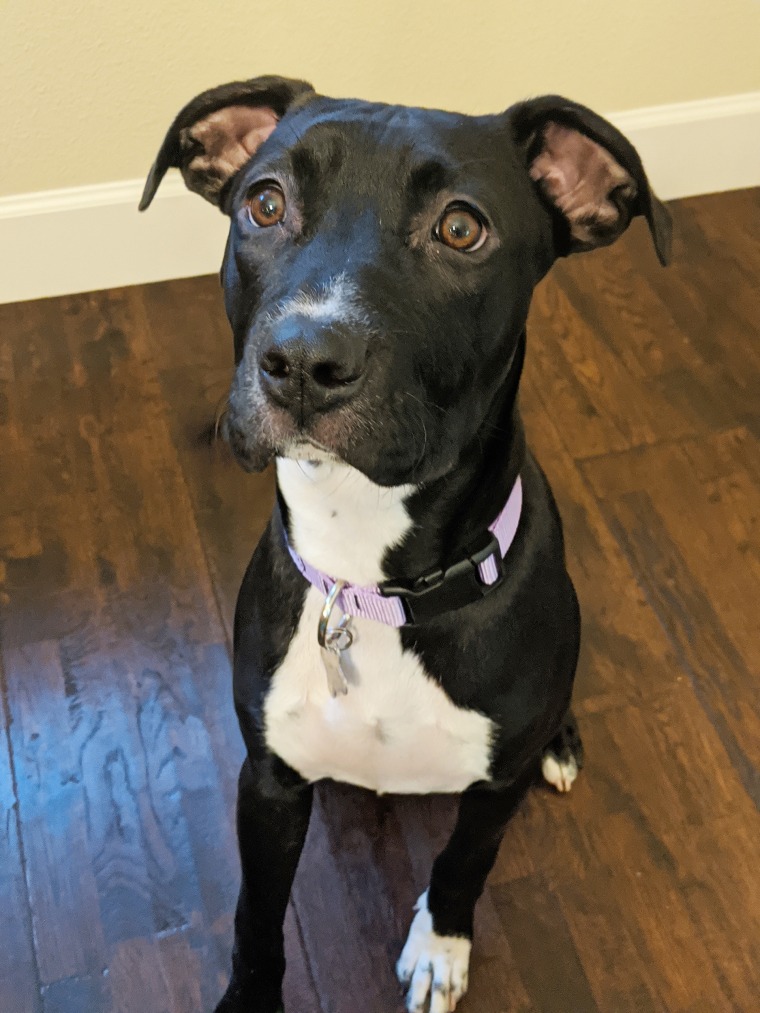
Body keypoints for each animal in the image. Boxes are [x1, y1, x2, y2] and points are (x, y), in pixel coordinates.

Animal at [139, 76, 668, 1013]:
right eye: (265, 204)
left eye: (461, 228)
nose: (303, 361)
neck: (369, 578)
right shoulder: (268, 780)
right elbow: (256, 916)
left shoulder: (492, 792)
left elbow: (463, 862)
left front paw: (440, 946)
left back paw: (561, 743)